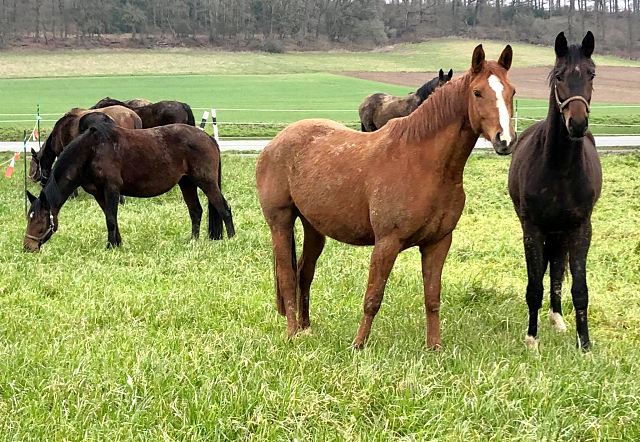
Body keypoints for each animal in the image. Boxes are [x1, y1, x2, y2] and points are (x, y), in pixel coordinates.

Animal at [25, 118, 236, 252]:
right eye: (29, 218)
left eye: (39, 221)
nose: (28, 247)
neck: (90, 152)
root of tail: (208, 138)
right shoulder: (99, 193)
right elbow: (109, 217)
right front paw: (117, 243)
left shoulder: (111, 190)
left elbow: (111, 218)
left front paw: (111, 246)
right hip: (187, 183)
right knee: (196, 211)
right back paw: (193, 241)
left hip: (205, 181)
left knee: (223, 207)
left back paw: (232, 239)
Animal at [255, 45, 516, 348]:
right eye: (477, 92)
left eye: (512, 91)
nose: (505, 140)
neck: (424, 163)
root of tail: (275, 142)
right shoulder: (387, 242)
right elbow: (373, 297)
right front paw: (358, 344)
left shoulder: (438, 243)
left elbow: (432, 297)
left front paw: (434, 347)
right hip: (280, 223)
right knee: (287, 277)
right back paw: (292, 332)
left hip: (314, 227)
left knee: (304, 273)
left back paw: (306, 328)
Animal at [508, 31, 604, 350]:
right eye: (559, 75)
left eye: (591, 73)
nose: (577, 124)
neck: (560, 169)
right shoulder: (532, 228)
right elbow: (534, 284)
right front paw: (531, 340)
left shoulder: (580, 228)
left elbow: (579, 287)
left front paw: (584, 344)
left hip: (561, 232)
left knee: (558, 266)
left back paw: (558, 318)